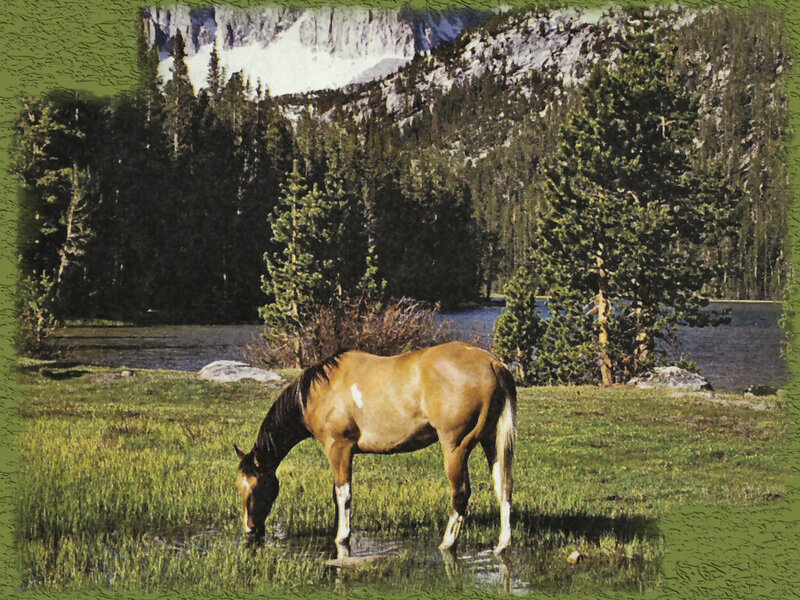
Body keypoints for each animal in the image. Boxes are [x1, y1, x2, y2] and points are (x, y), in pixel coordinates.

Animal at [234, 341, 517, 557]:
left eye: (256, 487)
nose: (250, 529)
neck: (321, 390)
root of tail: (492, 363)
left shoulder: (339, 448)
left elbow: (343, 494)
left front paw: (342, 537)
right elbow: (337, 493)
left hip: (455, 447)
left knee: (461, 493)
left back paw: (447, 543)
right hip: (491, 440)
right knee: (503, 486)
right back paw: (502, 544)